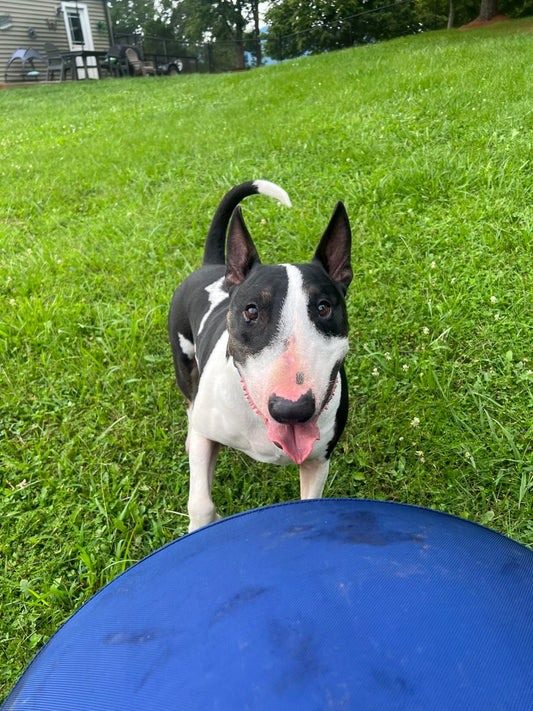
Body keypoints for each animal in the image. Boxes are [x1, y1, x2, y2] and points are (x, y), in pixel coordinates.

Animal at [168, 181, 352, 532]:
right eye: (251, 311)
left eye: (323, 308)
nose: (292, 410)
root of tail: (213, 266)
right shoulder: (207, 434)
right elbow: (200, 502)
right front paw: (204, 524)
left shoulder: (318, 460)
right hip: (183, 360)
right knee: (188, 400)